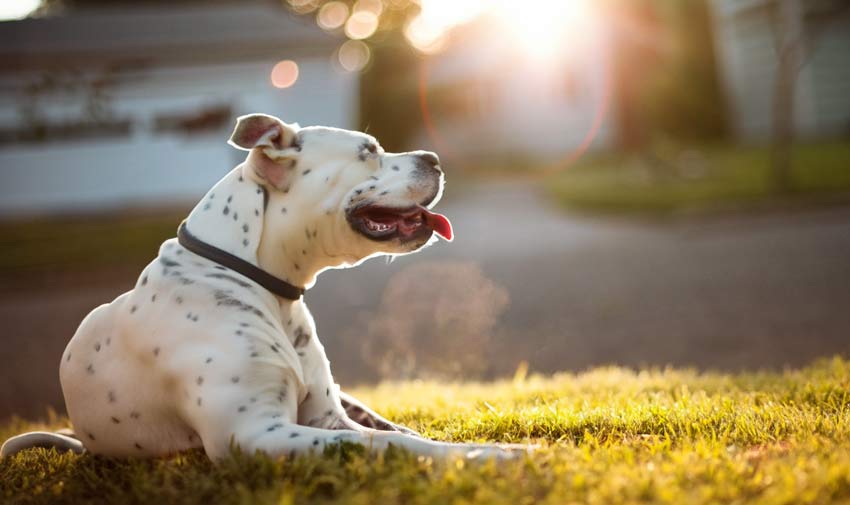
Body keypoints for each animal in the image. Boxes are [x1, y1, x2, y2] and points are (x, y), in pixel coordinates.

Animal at [1, 114, 524, 460]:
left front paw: (481, 447)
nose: (434, 157)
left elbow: (394, 435)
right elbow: (381, 442)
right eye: (368, 151)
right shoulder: (252, 434)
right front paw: (490, 455)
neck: (261, 282)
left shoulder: (325, 415)